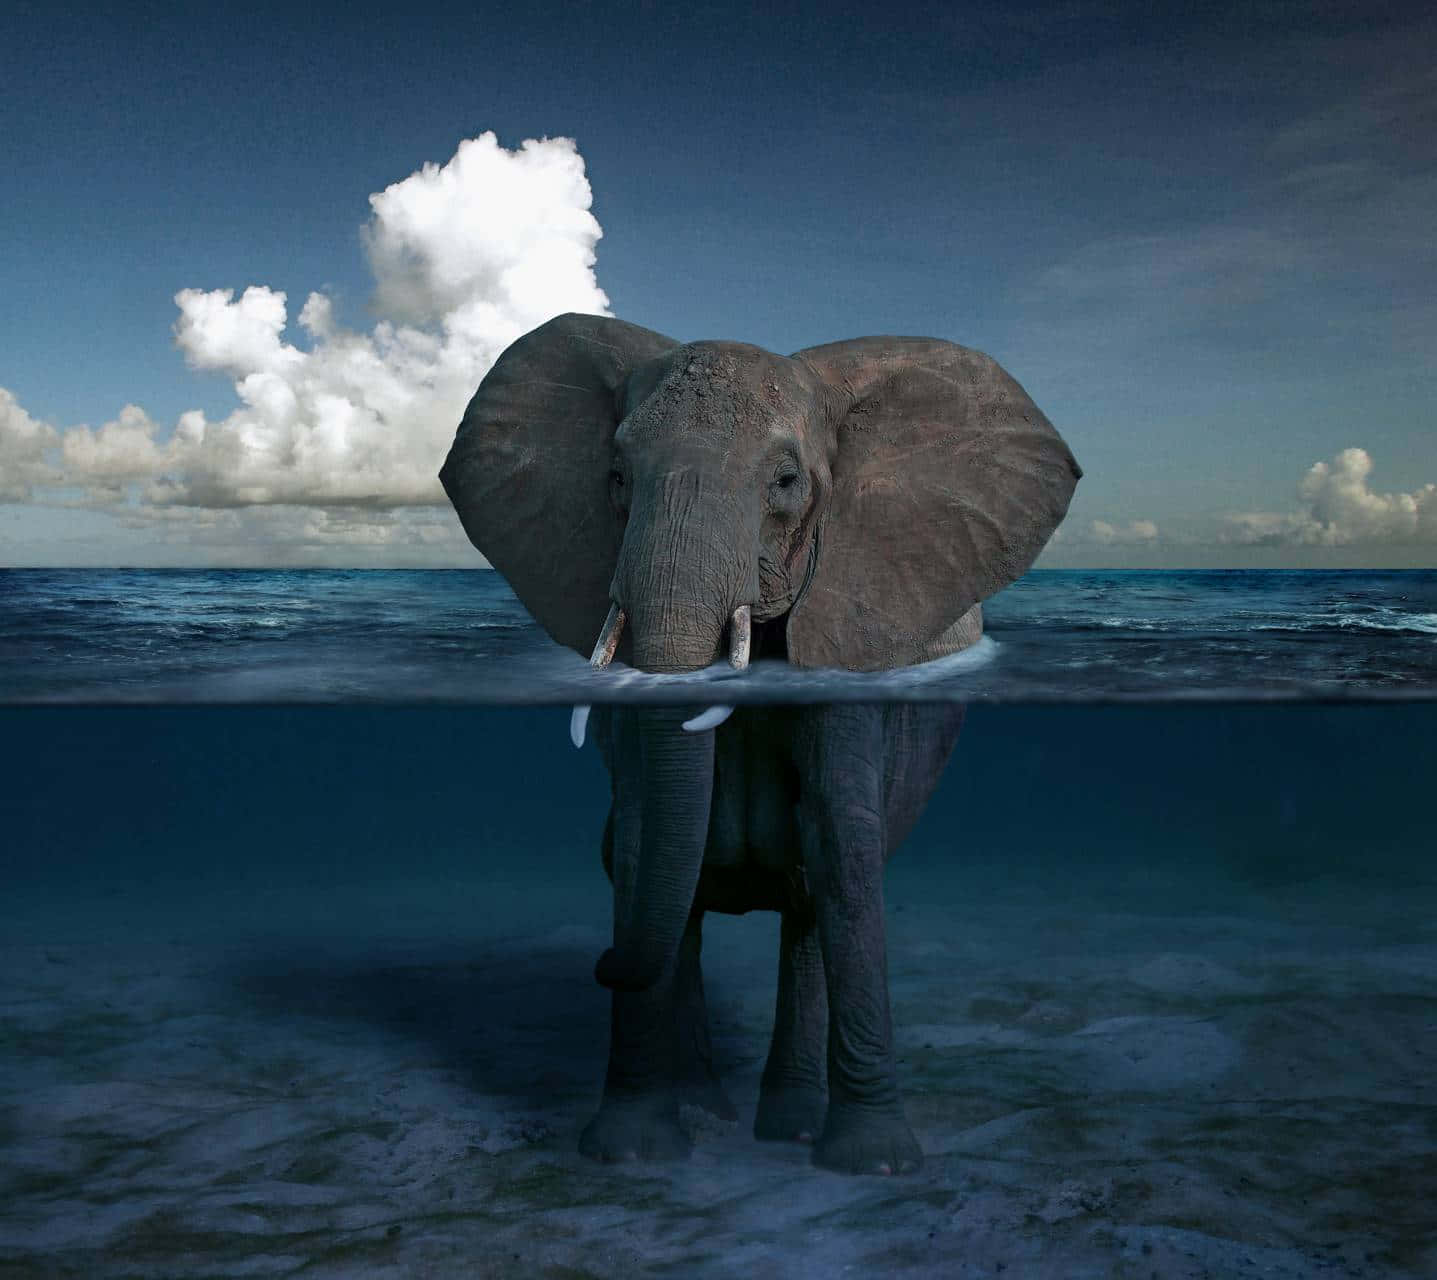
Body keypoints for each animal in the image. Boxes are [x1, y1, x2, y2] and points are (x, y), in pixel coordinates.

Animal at [439, 312, 1079, 1175]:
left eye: (784, 483)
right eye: (616, 478)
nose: (601, 965)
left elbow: (840, 843)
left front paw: (875, 1164)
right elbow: (641, 843)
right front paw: (632, 1153)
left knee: (808, 901)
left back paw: (792, 1129)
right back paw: (706, 1111)